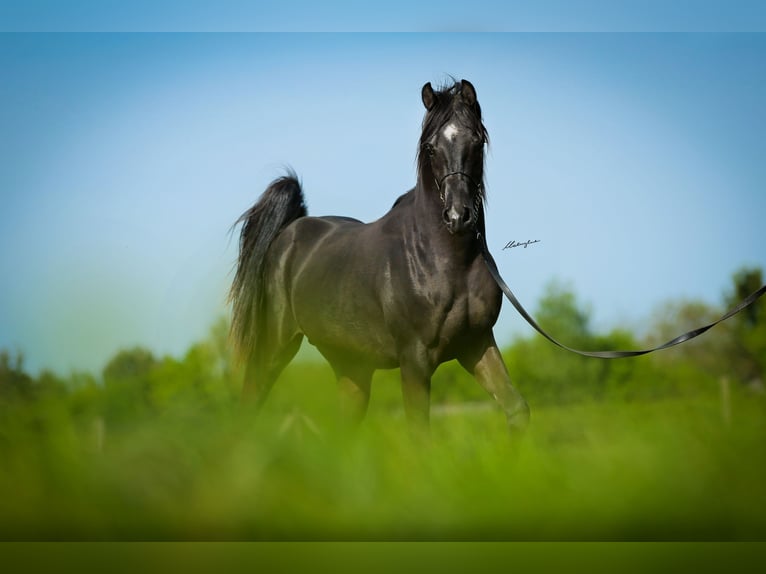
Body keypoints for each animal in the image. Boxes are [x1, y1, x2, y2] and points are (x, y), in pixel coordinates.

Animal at [229, 79, 530, 433]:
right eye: (430, 147)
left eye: (477, 141)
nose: (458, 217)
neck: (447, 263)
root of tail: (289, 231)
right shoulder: (414, 360)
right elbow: (419, 431)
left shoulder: (477, 343)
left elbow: (516, 407)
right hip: (275, 346)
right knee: (249, 403)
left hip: (352, 370)